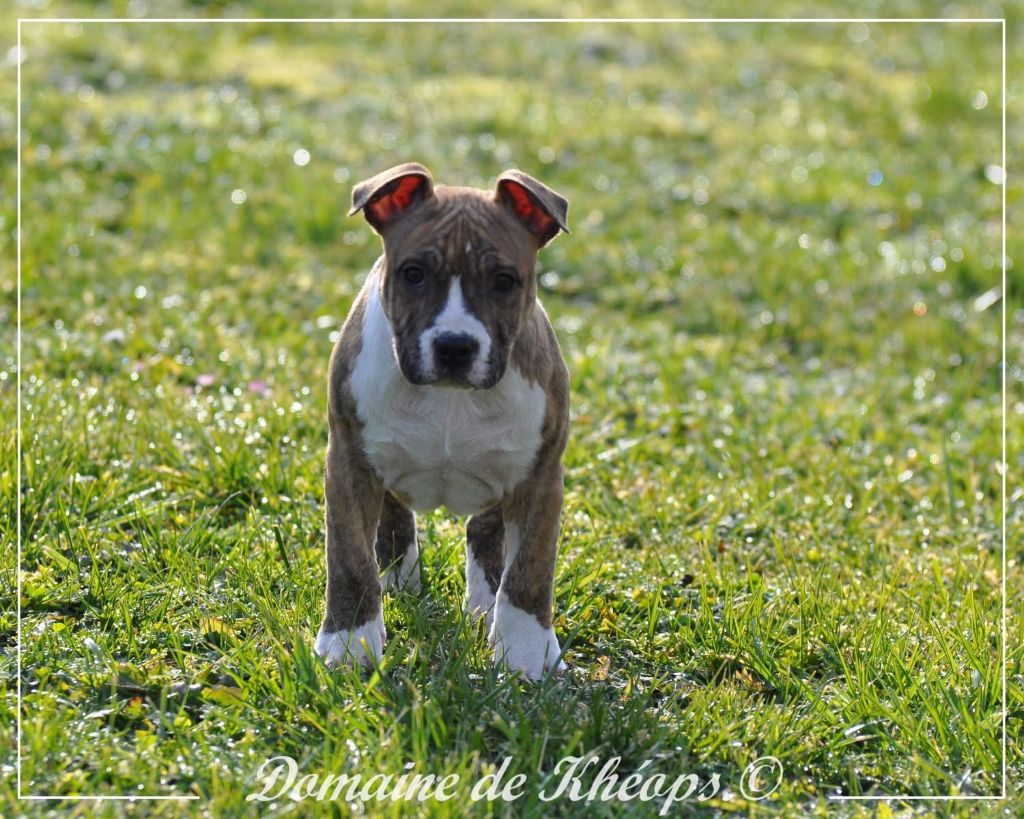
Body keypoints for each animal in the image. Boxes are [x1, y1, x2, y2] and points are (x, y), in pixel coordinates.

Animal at [314, 163, 571, 679]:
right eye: (413, 274)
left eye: (504, 281)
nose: (455, 346)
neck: (452, 400)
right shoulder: (349, 465)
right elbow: (349, 560)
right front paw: (349, 642)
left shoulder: (540, 479)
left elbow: (530, 571)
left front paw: (524, 652)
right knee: (394, 518)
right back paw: (398, 579)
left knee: (486, 533)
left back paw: (486, 603)